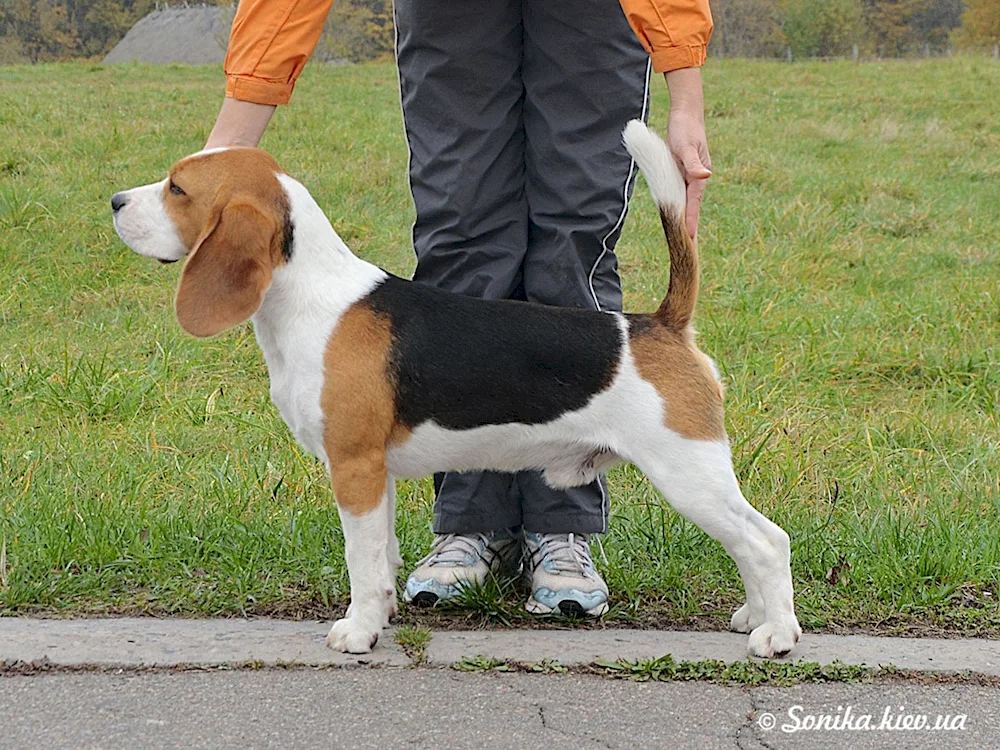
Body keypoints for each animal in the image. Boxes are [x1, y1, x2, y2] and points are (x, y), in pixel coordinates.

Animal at [109, 122, 800, 656]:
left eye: (176, 188)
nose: (114, 201)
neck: (311, 296)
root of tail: (660, 323)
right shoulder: (375, 473)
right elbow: (383, 555)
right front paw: (383, 614)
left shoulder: (353, 466)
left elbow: (361, 560)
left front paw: (357, 631)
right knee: (747, 543)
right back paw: (754, 615)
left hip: (688, 471)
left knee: (767, 541)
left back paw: (777, 635)